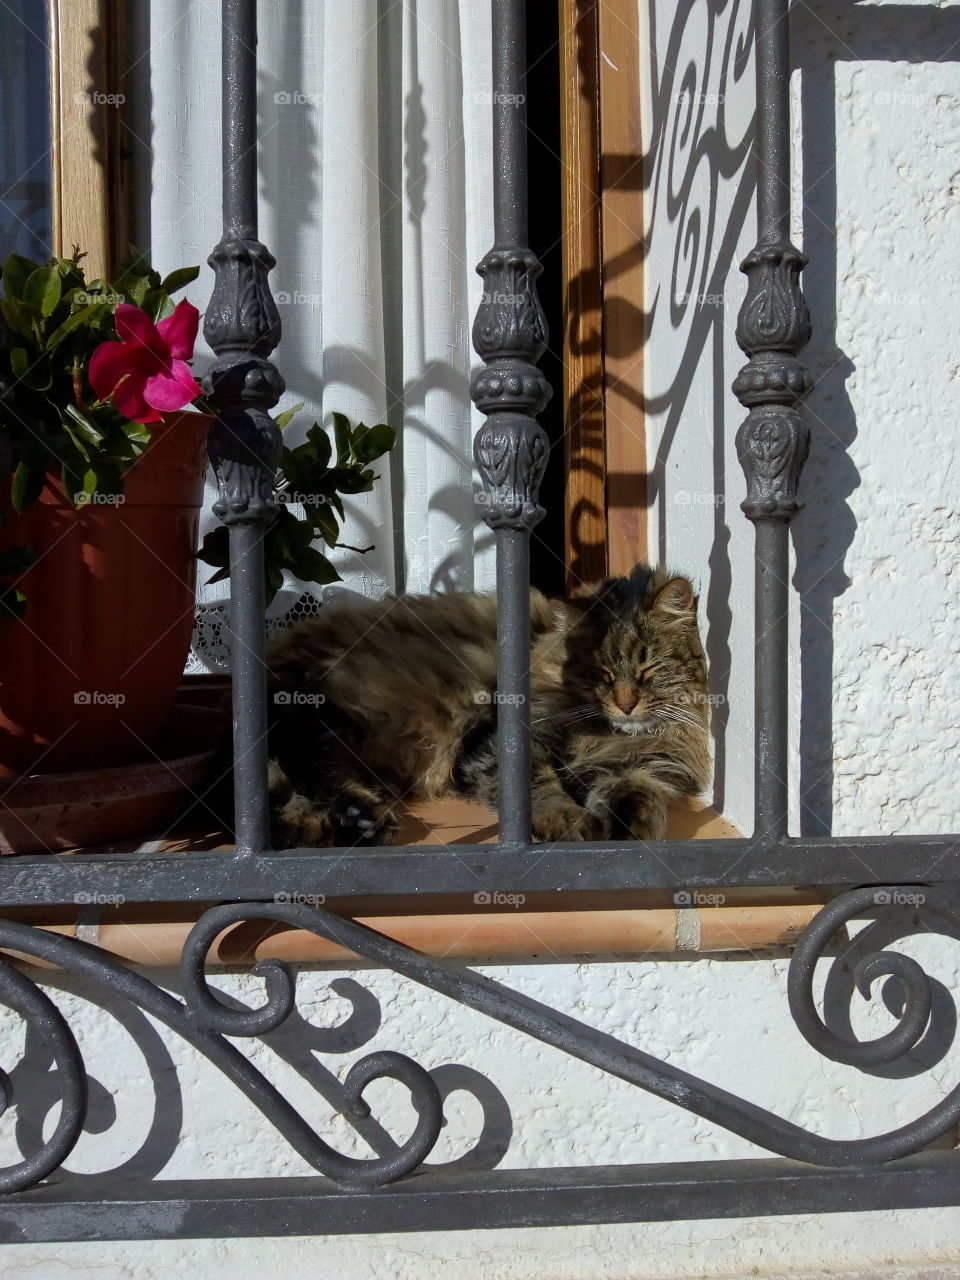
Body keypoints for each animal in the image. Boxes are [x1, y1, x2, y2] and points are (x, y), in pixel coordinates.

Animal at [264, 563, 716, 849]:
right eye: (600, 673)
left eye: (649, 668)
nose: (625, 705)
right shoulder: (499, 741)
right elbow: (541, 788)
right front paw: (569, 822)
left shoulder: (643, 767)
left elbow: (640, 797)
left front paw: (630, 834)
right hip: (327, 723)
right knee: (312, 775)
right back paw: (363, 822)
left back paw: (348, 825)